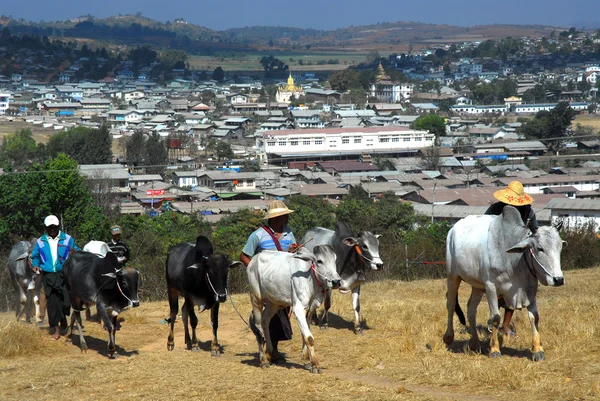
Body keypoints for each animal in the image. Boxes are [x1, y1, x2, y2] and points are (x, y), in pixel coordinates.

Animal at [246, 244, 340, 372]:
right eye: (320, 261)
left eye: (335, 260)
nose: (336, 282)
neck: (310, 276)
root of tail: (254, 259)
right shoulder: (298, 308)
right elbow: (309, 338)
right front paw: (315, 364)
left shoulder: (311, 308)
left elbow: (305, 334)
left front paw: (307, 360)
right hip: (256, 298)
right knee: (258, 326)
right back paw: (263, 360)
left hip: (273, 302)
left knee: (265, 320)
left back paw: (270, 354)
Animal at [442, 206, 564, 360]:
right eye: (540, 248)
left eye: (560, 247)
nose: (558, 279)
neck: (514, 260)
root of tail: (453, 229)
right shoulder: (491, 287)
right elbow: (495, 318)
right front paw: (494, 349)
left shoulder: (530, 289)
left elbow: (534, 317)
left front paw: (538, 350)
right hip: (453, 276)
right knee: (451, 304)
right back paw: (448, 337)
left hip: (477, 285)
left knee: (471, 309)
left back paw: (475, 343)